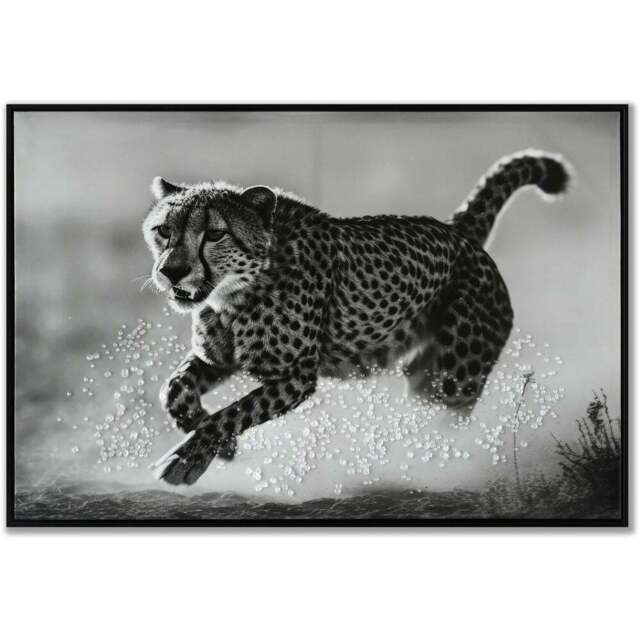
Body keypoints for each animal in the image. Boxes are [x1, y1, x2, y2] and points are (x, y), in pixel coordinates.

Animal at [143, 149, 571, 485]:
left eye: (215, 234)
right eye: (163, 230)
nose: (172, 271)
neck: (233, 294)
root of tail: (456, 232)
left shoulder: (296, 376)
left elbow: (230, 414)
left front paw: (189, 457)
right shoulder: (218, 359)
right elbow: (173, 390)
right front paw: (221, 446)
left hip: (457, 379)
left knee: (452, 422)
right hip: (426, 380)